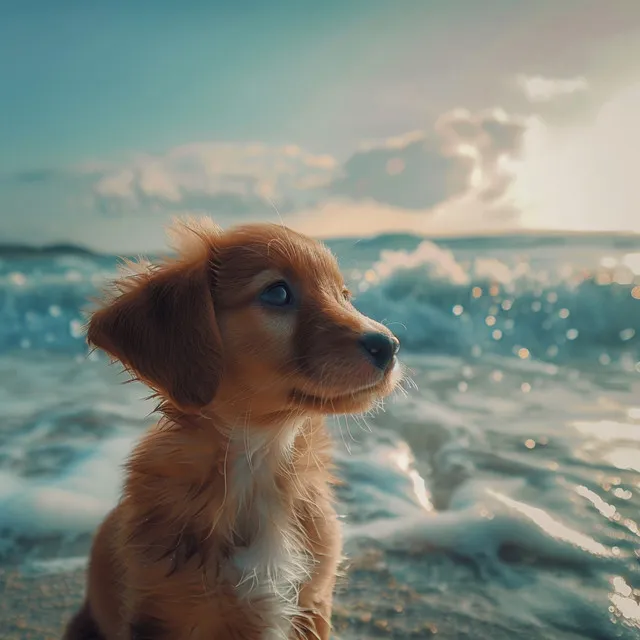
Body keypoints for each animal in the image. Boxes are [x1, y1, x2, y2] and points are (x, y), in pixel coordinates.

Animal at [62, 216, 398, 640]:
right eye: (277, 293)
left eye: (344, 294)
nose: (389, 346)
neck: (259, 458)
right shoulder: (159, 612)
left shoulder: (313, 605)